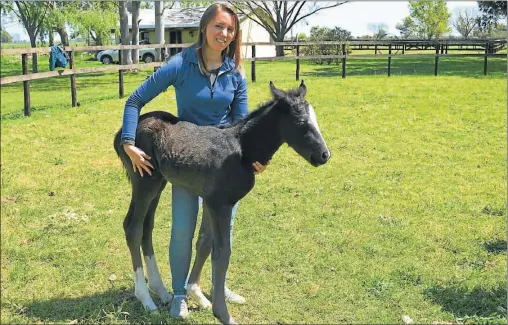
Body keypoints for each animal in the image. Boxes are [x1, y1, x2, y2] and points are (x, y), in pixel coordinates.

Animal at [113, 80, 332, 322]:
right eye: (301, 122)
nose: (324, 155)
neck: (242, 150)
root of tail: (122, 134)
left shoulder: (211, 201)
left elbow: (204, 243)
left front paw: (197, 295)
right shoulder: (221, 204)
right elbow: (222, 252)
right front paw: (223, 314)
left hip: (158, 183)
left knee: (147, 227)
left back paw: (161, 291)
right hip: (144, 182)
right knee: (132, 227)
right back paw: (145, 298)